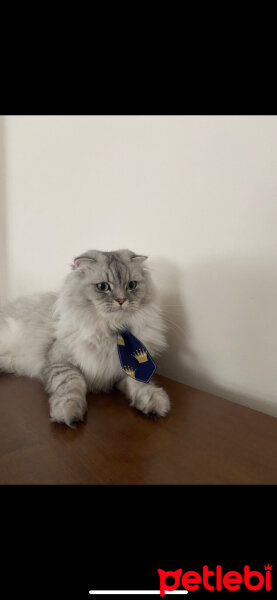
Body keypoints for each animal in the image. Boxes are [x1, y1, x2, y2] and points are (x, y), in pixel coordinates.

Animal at [0, 248, 169, 426]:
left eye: (131, 285)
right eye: (103, 287)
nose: (121, 300)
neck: (111, 329)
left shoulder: (122, 369)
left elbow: (139, 383)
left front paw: (154, 401)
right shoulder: (60, 362)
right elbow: (72, 384)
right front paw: (68, 412)